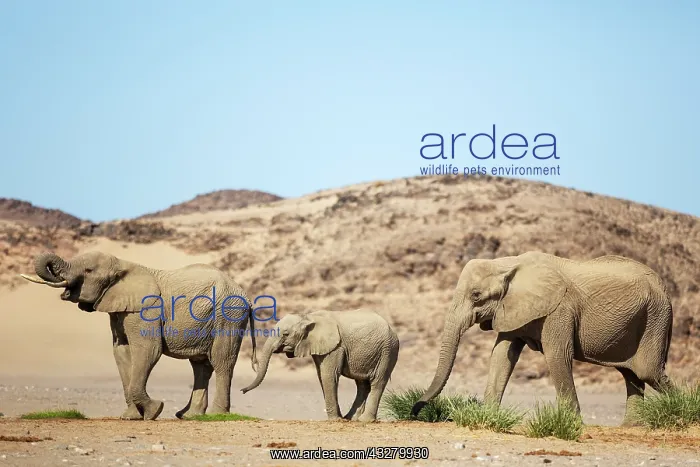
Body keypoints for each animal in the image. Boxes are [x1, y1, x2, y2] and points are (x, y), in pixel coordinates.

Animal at [20, 250, 259, 421]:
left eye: (88, 270)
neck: (123, 264)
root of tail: (245, 295)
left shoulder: (146, 309)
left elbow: (148, 351)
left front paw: (155, 410)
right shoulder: (119, 312)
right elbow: (121, 353)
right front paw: (131, 417)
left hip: (229, 316)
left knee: (222, 362)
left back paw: (217, 415)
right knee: (200, 366)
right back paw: (189, 416)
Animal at [240, 309, 400, 422]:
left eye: (285, 334)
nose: (242, 391)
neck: (308, 316)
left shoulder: (336, 346)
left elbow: (329, 375)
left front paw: (335, 420)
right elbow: (321, 375)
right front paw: (338, 419)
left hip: (387, 351)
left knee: (378, 382)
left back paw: (365, 420)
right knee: (362, 385)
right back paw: (351, 418)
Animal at [411, 251, 674, 426]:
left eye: (476, 295)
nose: (415, 412)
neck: (508, 264)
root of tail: (663, 287)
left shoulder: (560, 310)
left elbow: (558, 356)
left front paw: (572, 426)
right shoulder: (511, 309)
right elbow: (502, 355)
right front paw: (489, 417)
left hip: (656, 318)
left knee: (648, 372)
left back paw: (679, 410)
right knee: (631, 375)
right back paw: (632, 426)